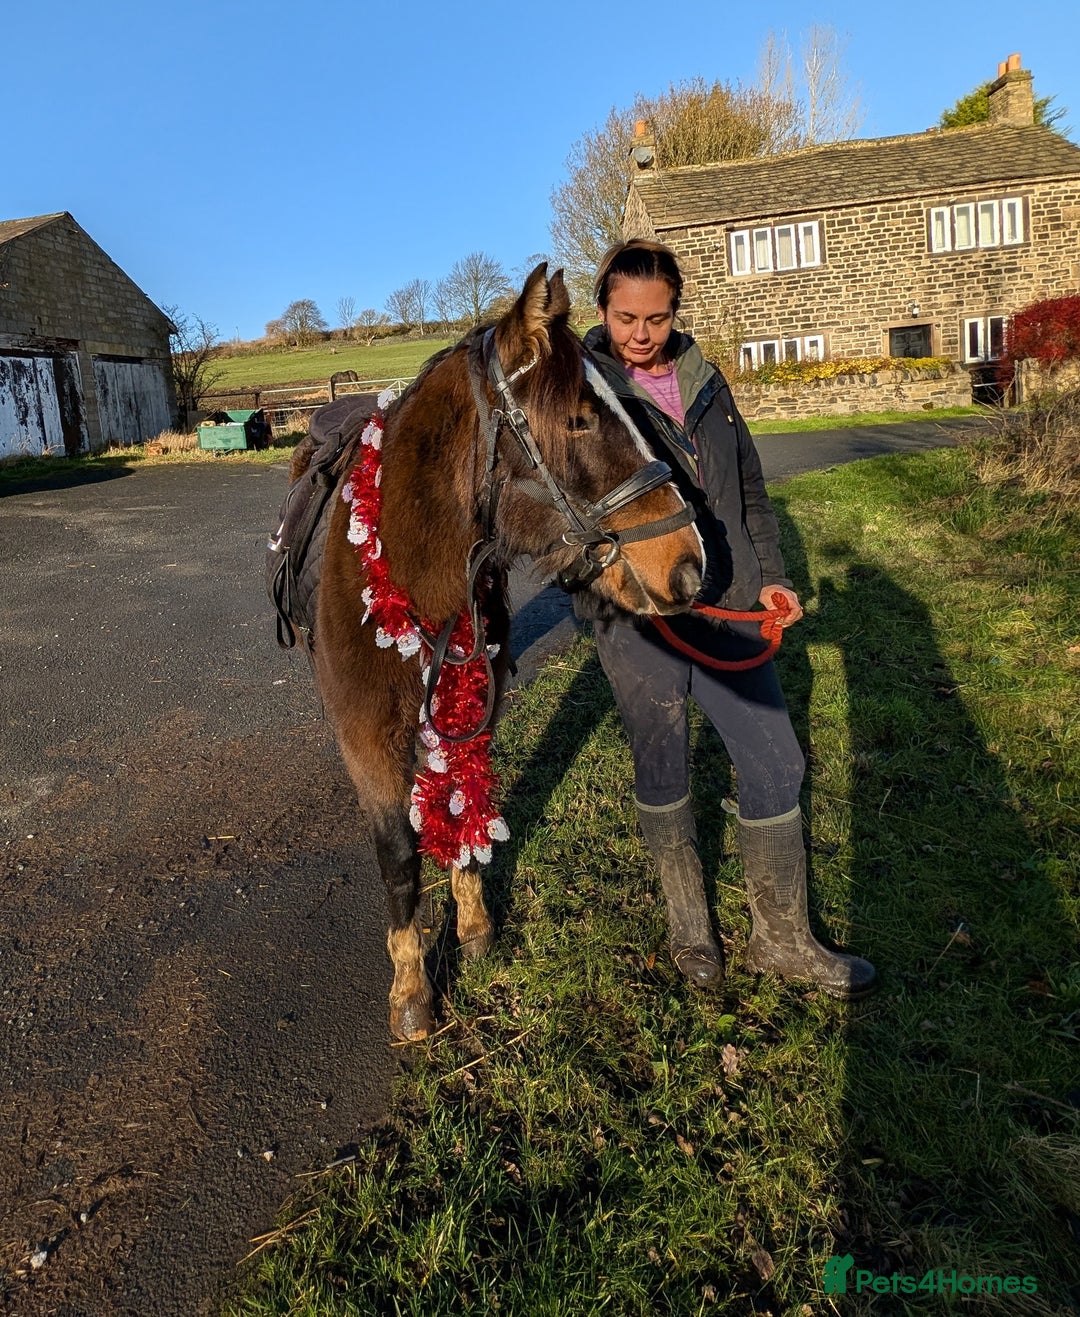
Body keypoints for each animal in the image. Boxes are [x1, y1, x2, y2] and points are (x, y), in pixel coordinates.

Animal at [280, 265, 705, 1041]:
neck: (413, 564)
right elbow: (399, 857)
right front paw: (411, 987)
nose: (690, 566)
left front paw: (474, 925)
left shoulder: (474, 699)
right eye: (579, 417)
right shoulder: (366, 737)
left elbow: (463, 800)